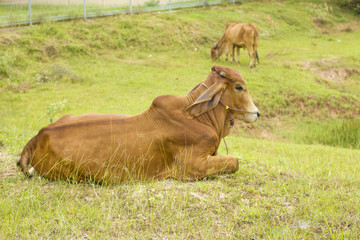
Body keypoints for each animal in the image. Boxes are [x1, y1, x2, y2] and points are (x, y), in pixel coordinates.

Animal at [17, 64, 258, 183]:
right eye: (239, 87)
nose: (256, 113)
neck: (196, 116)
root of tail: (39, 135)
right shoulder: (192, 166)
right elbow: (234, 162)